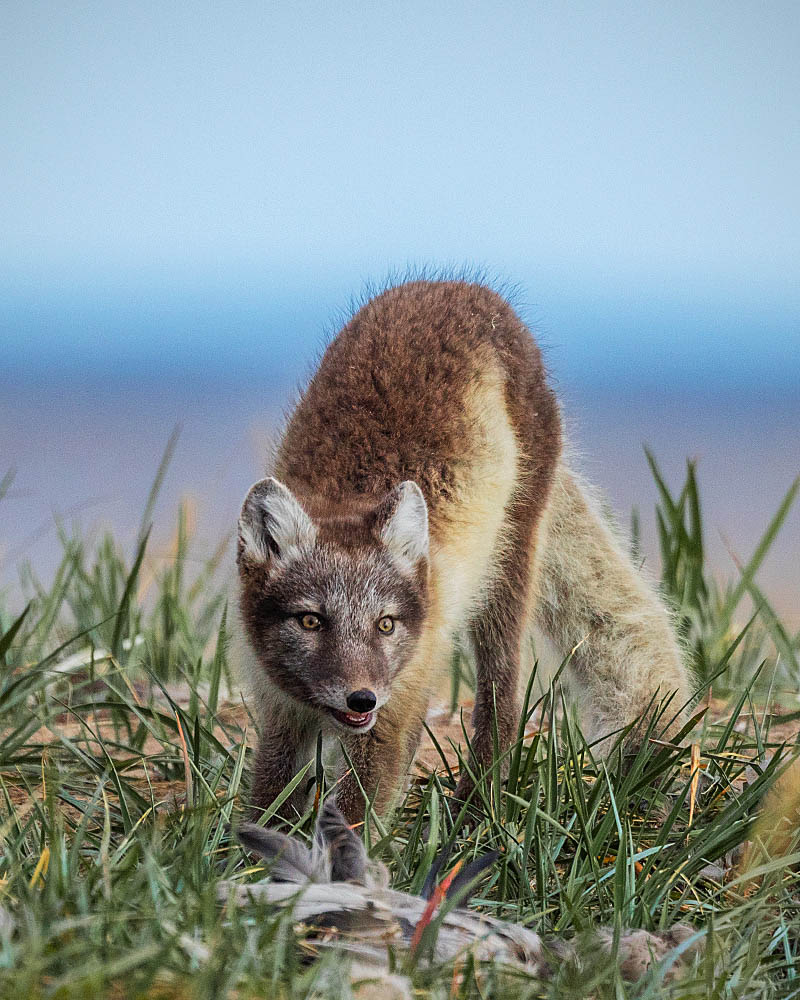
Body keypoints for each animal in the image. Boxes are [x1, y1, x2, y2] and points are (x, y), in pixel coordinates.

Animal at [236, 280, 688, 820]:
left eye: (385, 625)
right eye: (310, 621)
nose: (362, 699)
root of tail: (464, 287)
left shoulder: (393, 716)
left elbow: (354, 814)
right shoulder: (279, 713)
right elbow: (270, 800)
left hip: (504, 566)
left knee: (504, 706)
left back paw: (475, 808)